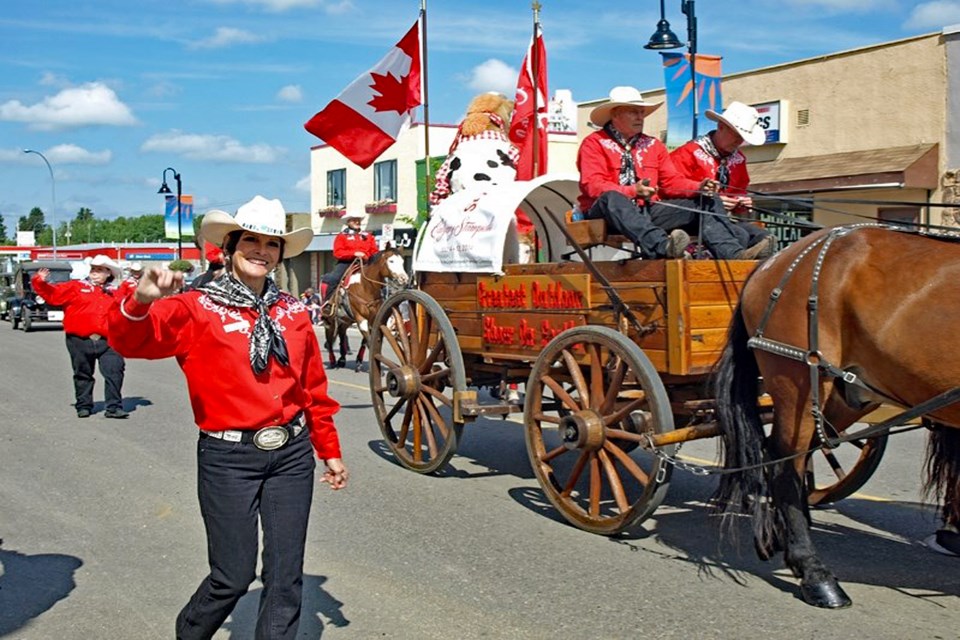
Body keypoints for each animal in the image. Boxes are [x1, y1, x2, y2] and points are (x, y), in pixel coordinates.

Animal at [716, 225, 960, 608]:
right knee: (785, 463)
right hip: (797, 382)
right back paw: (813, 572)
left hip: (845, 394)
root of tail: (774, 260)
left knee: (797, 455)